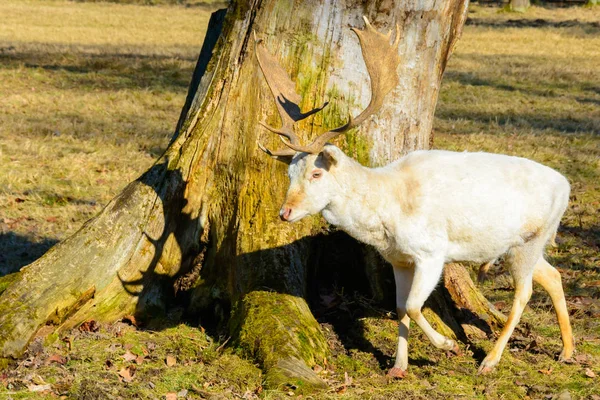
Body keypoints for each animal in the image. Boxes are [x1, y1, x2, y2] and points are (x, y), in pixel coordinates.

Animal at [255, 16, 576, 378]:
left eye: (316, 173)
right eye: (289, 174)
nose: (285, 212)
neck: (389, 214)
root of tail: (566, 185)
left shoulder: (431, 251)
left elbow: (412, 305)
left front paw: (447, 345)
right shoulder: (399, 259)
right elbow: (399, 307)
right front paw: (398, 366)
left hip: (531, 240)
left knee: (524, 293)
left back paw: (490, 359)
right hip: (518, 246)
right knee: (553, 275)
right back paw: (567, 351)